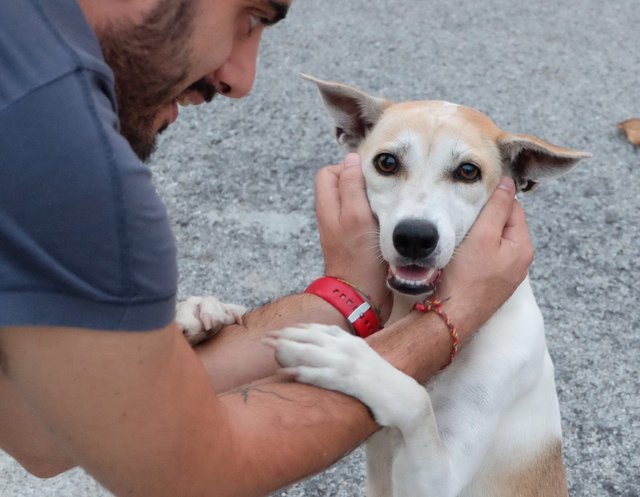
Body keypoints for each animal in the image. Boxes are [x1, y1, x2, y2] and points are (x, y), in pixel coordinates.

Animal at [264, 74, 592, 496]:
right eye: (387, 162)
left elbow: (415, 399)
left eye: (468, 171)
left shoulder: (439, 480)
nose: (415, 237)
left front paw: (350, 359)